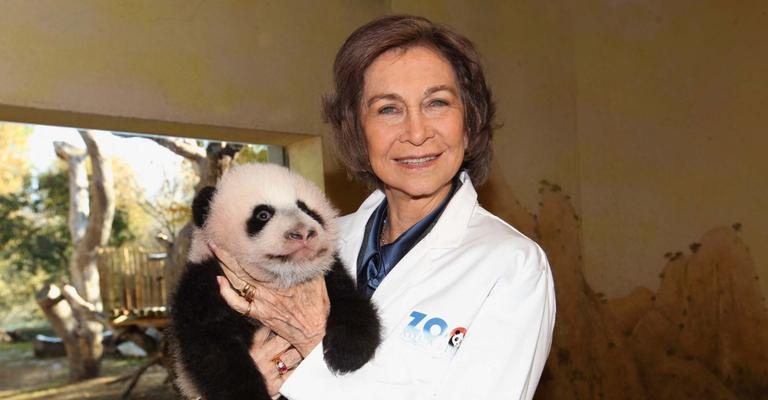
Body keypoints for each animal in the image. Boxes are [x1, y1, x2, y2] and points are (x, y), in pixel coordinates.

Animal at [170, 163, 380, 400]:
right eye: (263, 214)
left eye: (307, 209)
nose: (303, 233)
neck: (282, 278)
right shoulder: (205, 284)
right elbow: (215, 353)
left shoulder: (325, 277)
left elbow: (349, 300)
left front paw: (348, 352)